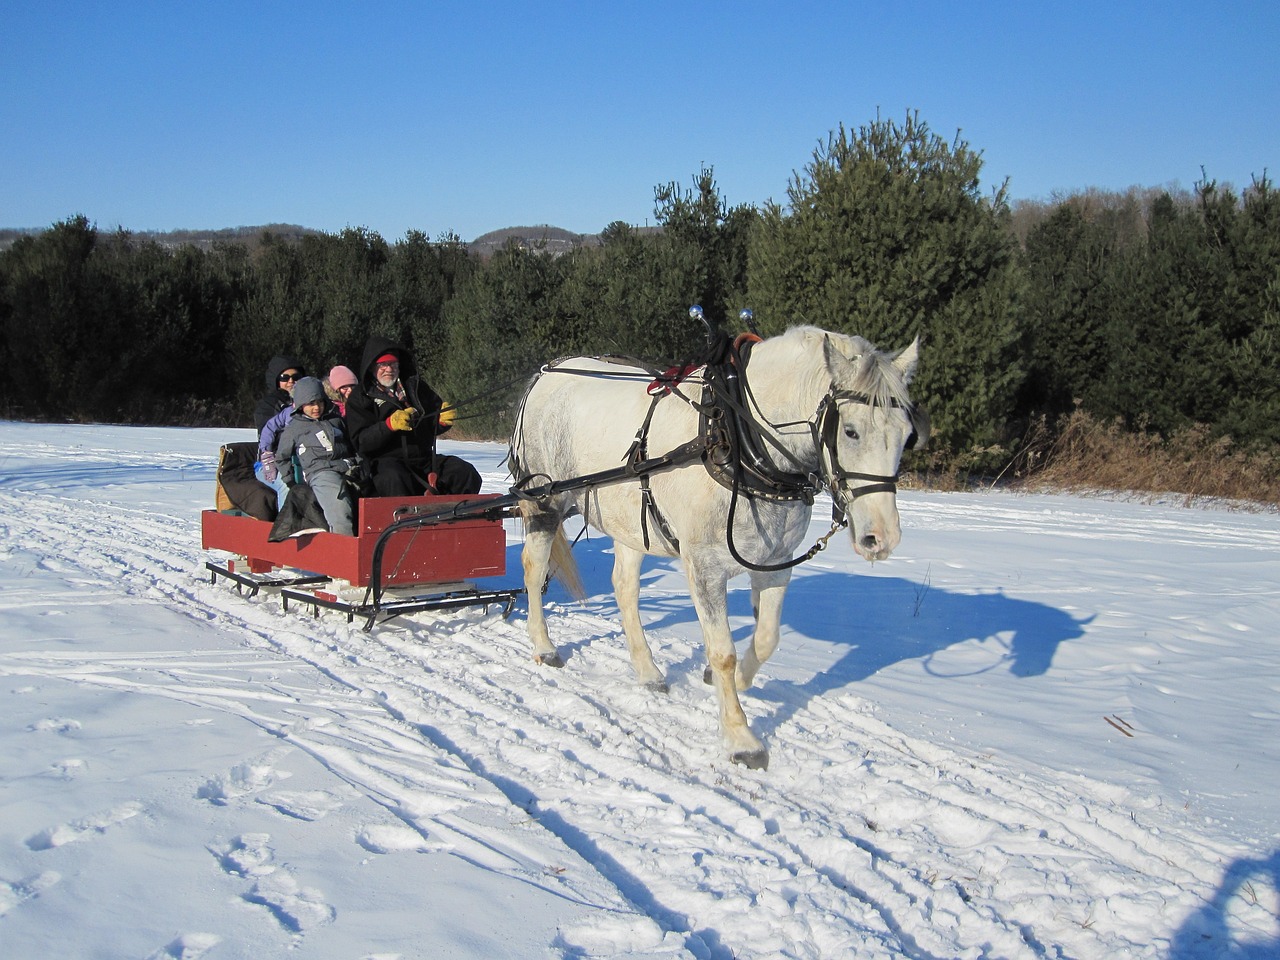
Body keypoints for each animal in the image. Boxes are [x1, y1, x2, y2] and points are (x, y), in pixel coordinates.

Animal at [506, 327, 921, 773]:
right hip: (545, 500)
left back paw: (648, 670)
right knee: (533, 567)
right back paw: (545, 647)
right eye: (851, 431)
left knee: (625, 588)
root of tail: (547, 372)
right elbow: (723, 651)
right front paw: (741, 738)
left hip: (631, 521)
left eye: (906, 434)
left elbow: (767, 637)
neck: (737, 439)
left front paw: (734, 683)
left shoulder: (775, 562)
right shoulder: (704, 567)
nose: (881, 537)